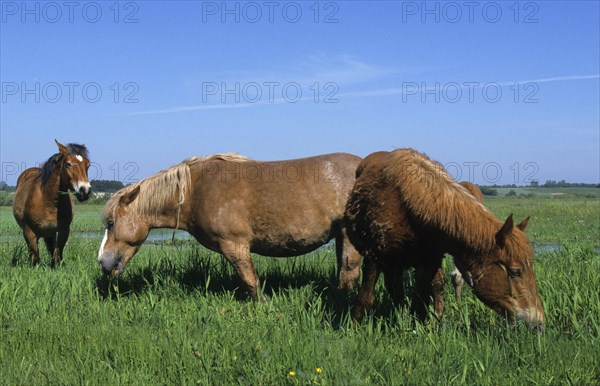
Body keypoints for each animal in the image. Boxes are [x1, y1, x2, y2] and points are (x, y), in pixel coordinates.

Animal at [97, 153, 360, 298]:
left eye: (111, 222)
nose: (102, 262)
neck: (196, 191)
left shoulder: (235, 245)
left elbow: (251, 282)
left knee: (349, 272)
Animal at [344, 149, 548, 330]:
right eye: (515, 272)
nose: (539, 325)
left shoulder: (429, 260)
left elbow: (425, 296)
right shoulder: (373, 256)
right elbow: (365, 297)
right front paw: (353, 327)